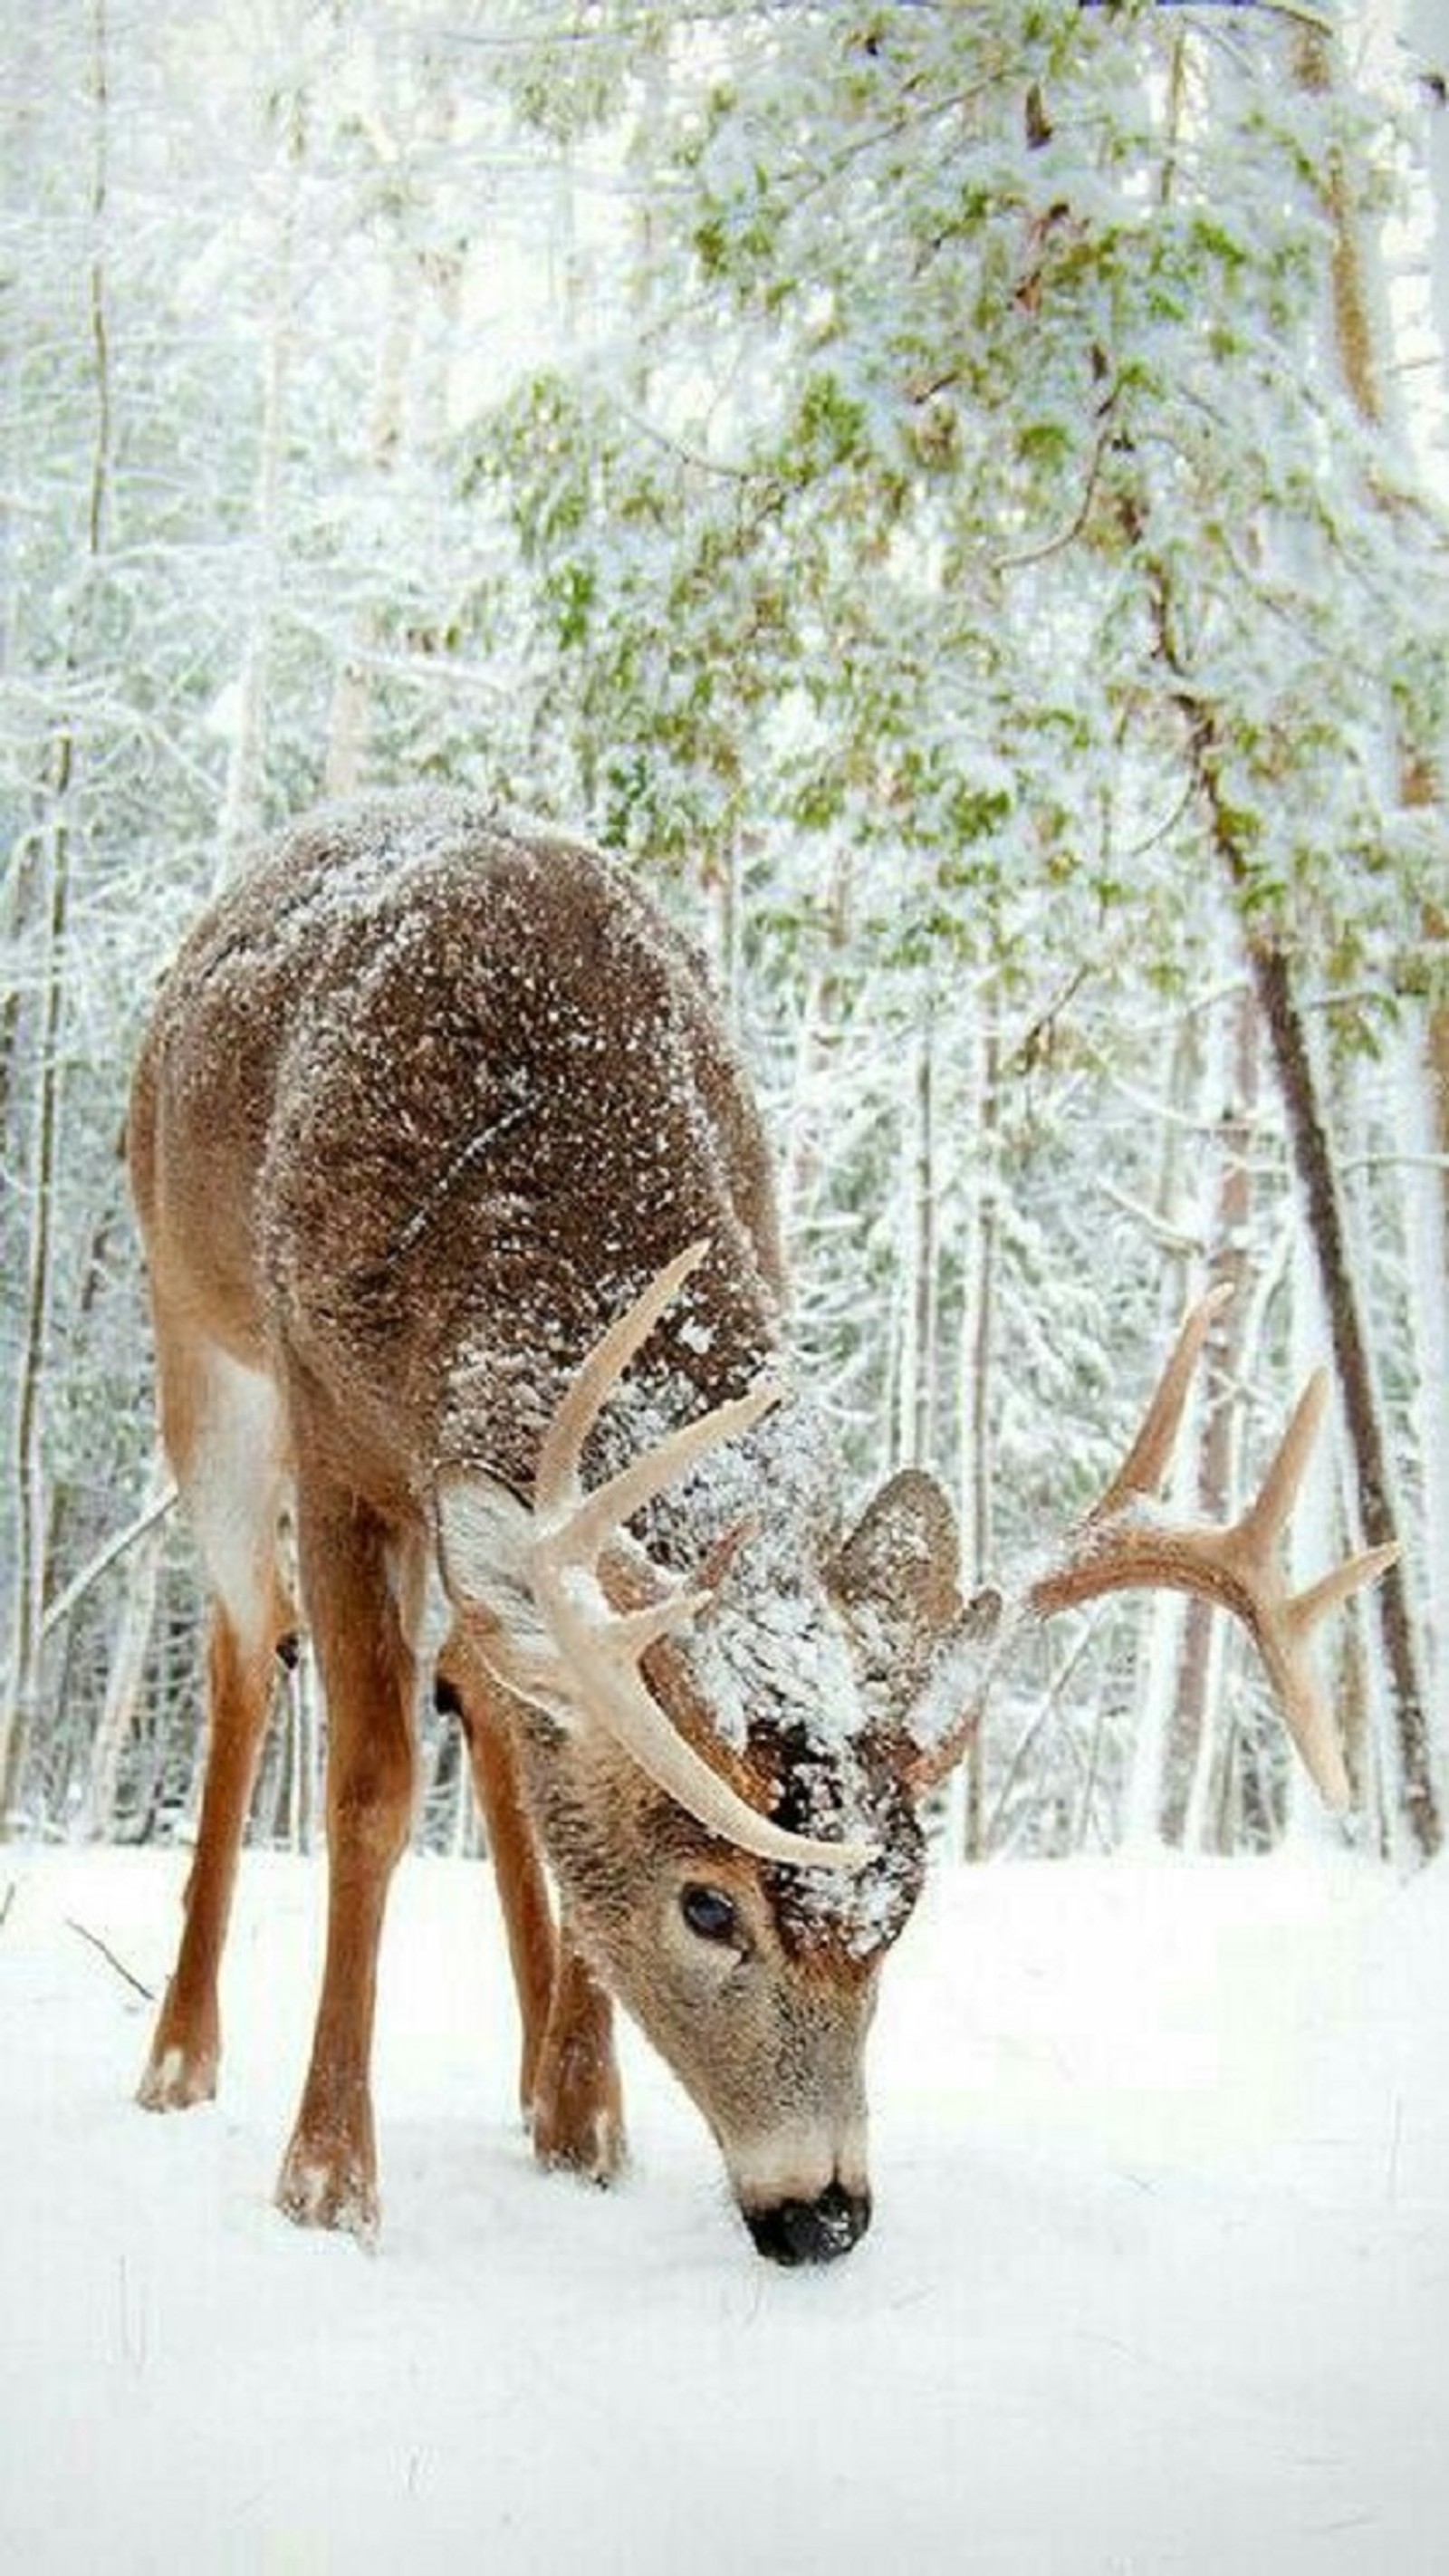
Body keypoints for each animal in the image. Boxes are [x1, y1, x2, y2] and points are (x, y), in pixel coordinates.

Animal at [130, 793, 1400, 2266]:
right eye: (706, 1904)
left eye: (905, 1910)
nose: (823, 2213)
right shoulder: (337, 1433)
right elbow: (370, 1793)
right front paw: (328, 2176)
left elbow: (553, 1765)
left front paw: (586, 2118)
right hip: (197, 1345)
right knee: (244, 1648)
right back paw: (180, 2055)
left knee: (496, 1698)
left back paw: (551, 2087)